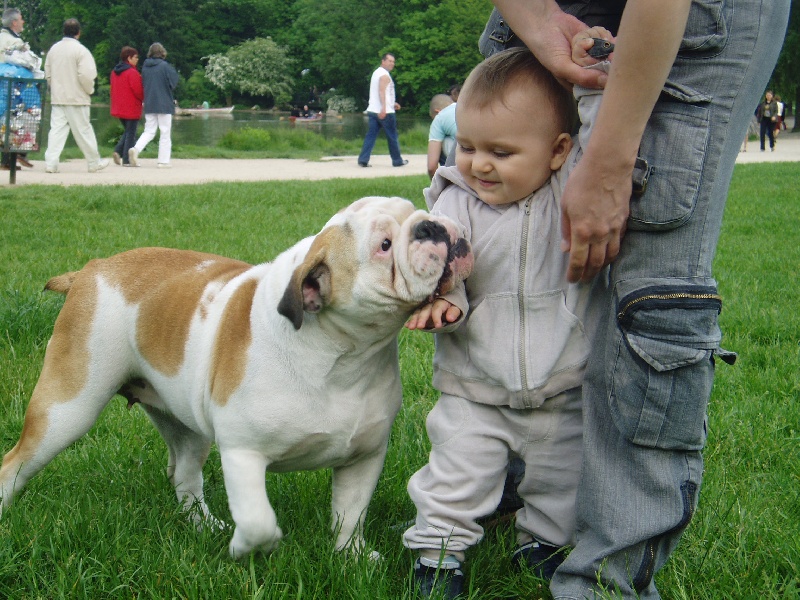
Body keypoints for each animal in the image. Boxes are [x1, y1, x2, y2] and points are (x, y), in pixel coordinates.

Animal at [0, 196, 473, 558]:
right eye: (384, 245)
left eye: (416, 209)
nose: (431, 225)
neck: (342, 354)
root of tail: (90, 270)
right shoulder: (244, 453)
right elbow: (259, 519)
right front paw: (248, 548)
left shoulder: (364, 457)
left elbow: (350, 513)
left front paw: (351, 556)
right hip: (67, 409)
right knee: (17, 462)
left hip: (186, 427)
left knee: (185, 475)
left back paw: (203, 524)